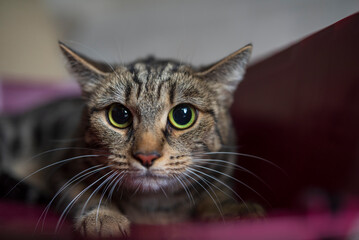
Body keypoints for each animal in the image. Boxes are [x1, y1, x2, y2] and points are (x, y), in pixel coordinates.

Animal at [0, 42, 264, 236]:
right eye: (119, 114)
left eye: (183, 115)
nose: (146, 156)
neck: (154, 207)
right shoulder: (64, 171)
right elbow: (86, 196)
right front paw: (104, 218)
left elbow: (218, 195)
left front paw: (234, 209)